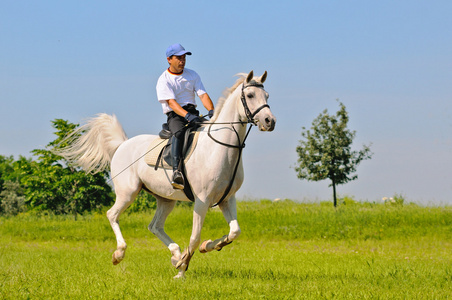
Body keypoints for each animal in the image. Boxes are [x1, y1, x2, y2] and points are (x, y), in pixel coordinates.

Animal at [56, 71, 276, 278]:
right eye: (250, 95)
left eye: (266, 95)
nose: (269, 121)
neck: (219, 149)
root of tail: (122, 144)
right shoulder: (202, 201)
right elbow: (194, 237)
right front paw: (181, 271)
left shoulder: (226, 199)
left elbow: (234, 231)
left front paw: (206, 247)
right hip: (128, 192)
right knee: (112, 215)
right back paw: (120, 254)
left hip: (166, 199)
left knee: (154, 226)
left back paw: (175, 254)